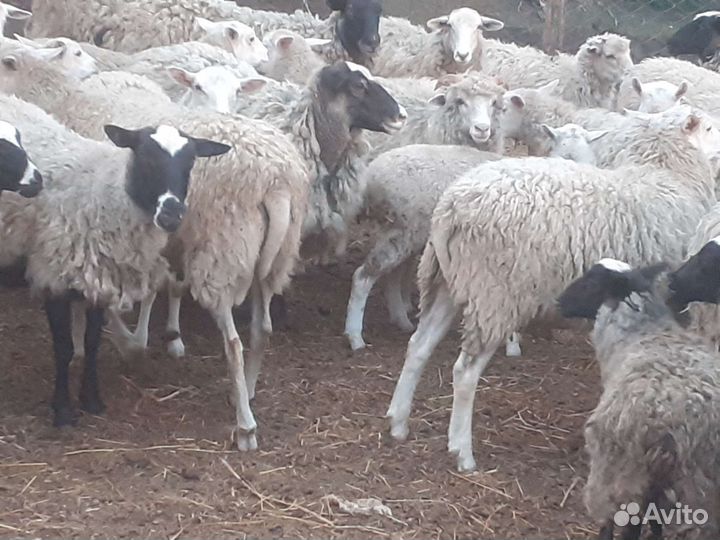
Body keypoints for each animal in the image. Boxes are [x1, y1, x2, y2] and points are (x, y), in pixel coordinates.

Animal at [0, 93, 230, 426]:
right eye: (146, 158)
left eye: (190, 163)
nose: (172, 215)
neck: (105, 194)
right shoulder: (53, 273)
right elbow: (63, 348)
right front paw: (63, 410)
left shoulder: (101, 275)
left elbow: (93, 341)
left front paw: (91, 400)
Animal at [345, 129, 606, 353]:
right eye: (563, 154)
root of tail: (373, 175)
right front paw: (512, 345)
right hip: (405, 230)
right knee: (363, 277)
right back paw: (356, 336)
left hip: (404, 231)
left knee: (391, 273)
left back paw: (401, 320)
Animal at [385, 105, 720, 472]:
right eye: (707, 127)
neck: (667, 174)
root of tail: (451, 209)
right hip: (495, 295)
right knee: (465, 371)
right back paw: (462, 451)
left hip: (447, 281)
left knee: (418, 346)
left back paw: (398, 421)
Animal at [558, 258, 720, 540]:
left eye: (591, 282)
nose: (559, 302)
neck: (642, 331)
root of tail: (673, 424)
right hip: (701, 487)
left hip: (620, 474)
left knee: (622, 522)